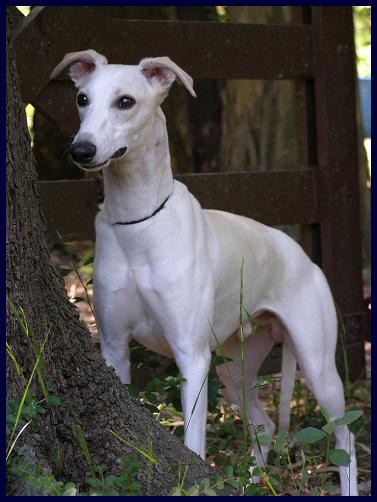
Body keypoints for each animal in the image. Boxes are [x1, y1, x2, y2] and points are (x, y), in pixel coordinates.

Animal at [51, 51, 356, 494]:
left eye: (126, 101)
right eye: (81, 98)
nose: (81, 149)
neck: (138, 223)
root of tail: (305, 257)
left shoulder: (192, 358)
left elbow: (193, 443)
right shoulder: (114, 348)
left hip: (317, 365)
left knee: (345, 435)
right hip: (233, 370)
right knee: (264, 425)